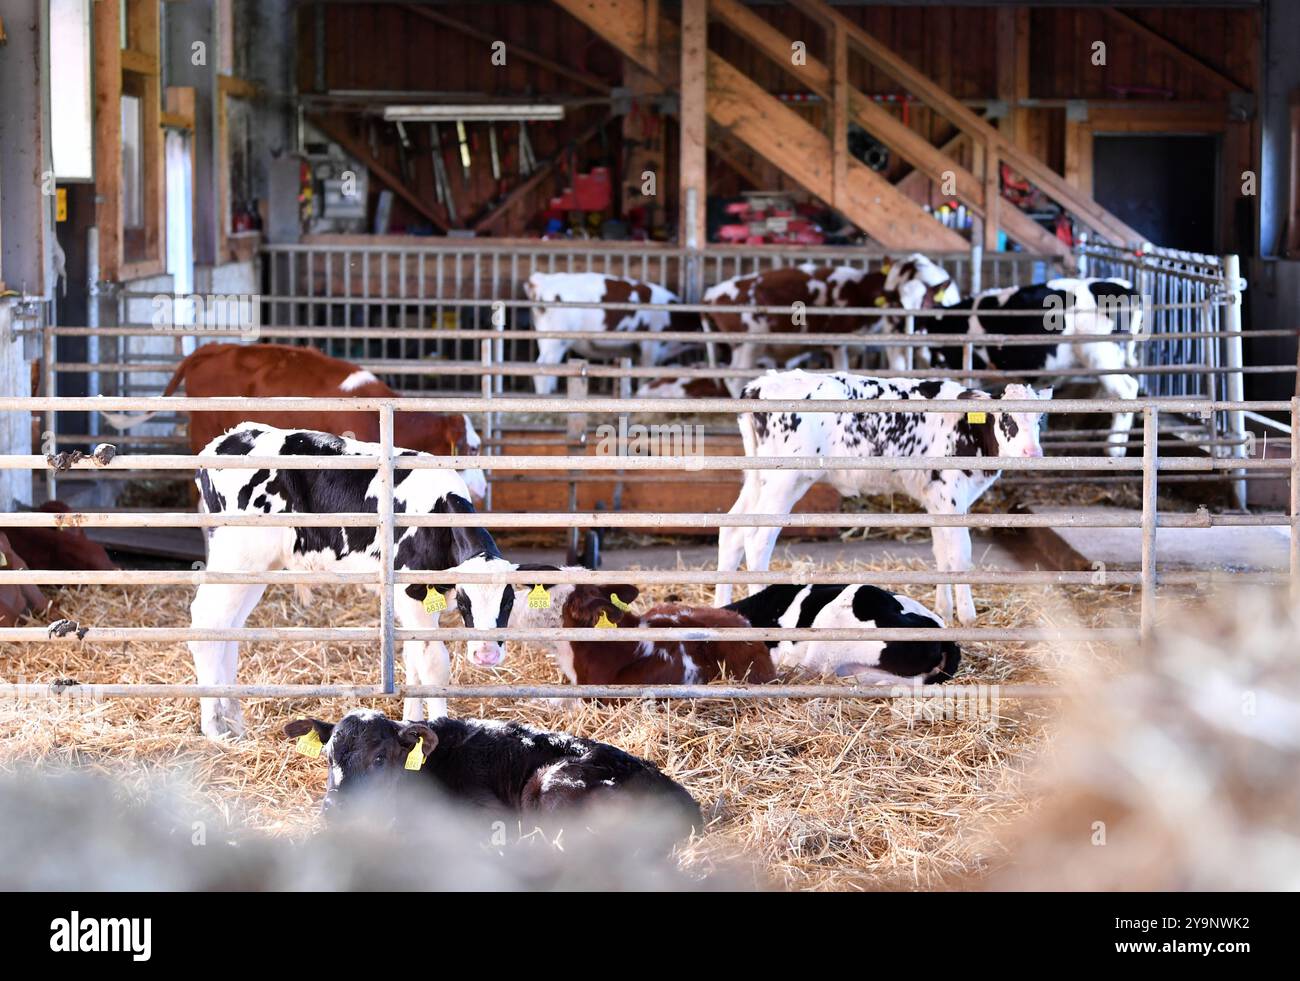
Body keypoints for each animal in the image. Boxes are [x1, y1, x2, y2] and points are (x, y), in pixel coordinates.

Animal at [192, 426, 517, 738]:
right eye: (464, 601)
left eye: (508, 602)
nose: (486, 654)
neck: (437, 516)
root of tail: (227, 440)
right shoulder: (413, 596)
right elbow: (433, 666)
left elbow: (413, 661)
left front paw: (412, 723)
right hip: (237, 557)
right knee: (207, 622)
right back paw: (214, 727)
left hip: (253, 569)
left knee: (228, 629)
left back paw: (233, 721)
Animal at [717, 371, 1050, 626]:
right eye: (1007, 419)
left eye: (1039, 420)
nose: (1032, 453)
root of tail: (761, 384)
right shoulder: (951, 494)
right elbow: (959, 555)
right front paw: (968, 618)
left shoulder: (937, 499)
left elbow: (942, 553)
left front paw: (944, 612)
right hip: (784, 480)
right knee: (757, 538)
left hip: (759, 478)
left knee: (732, 530)